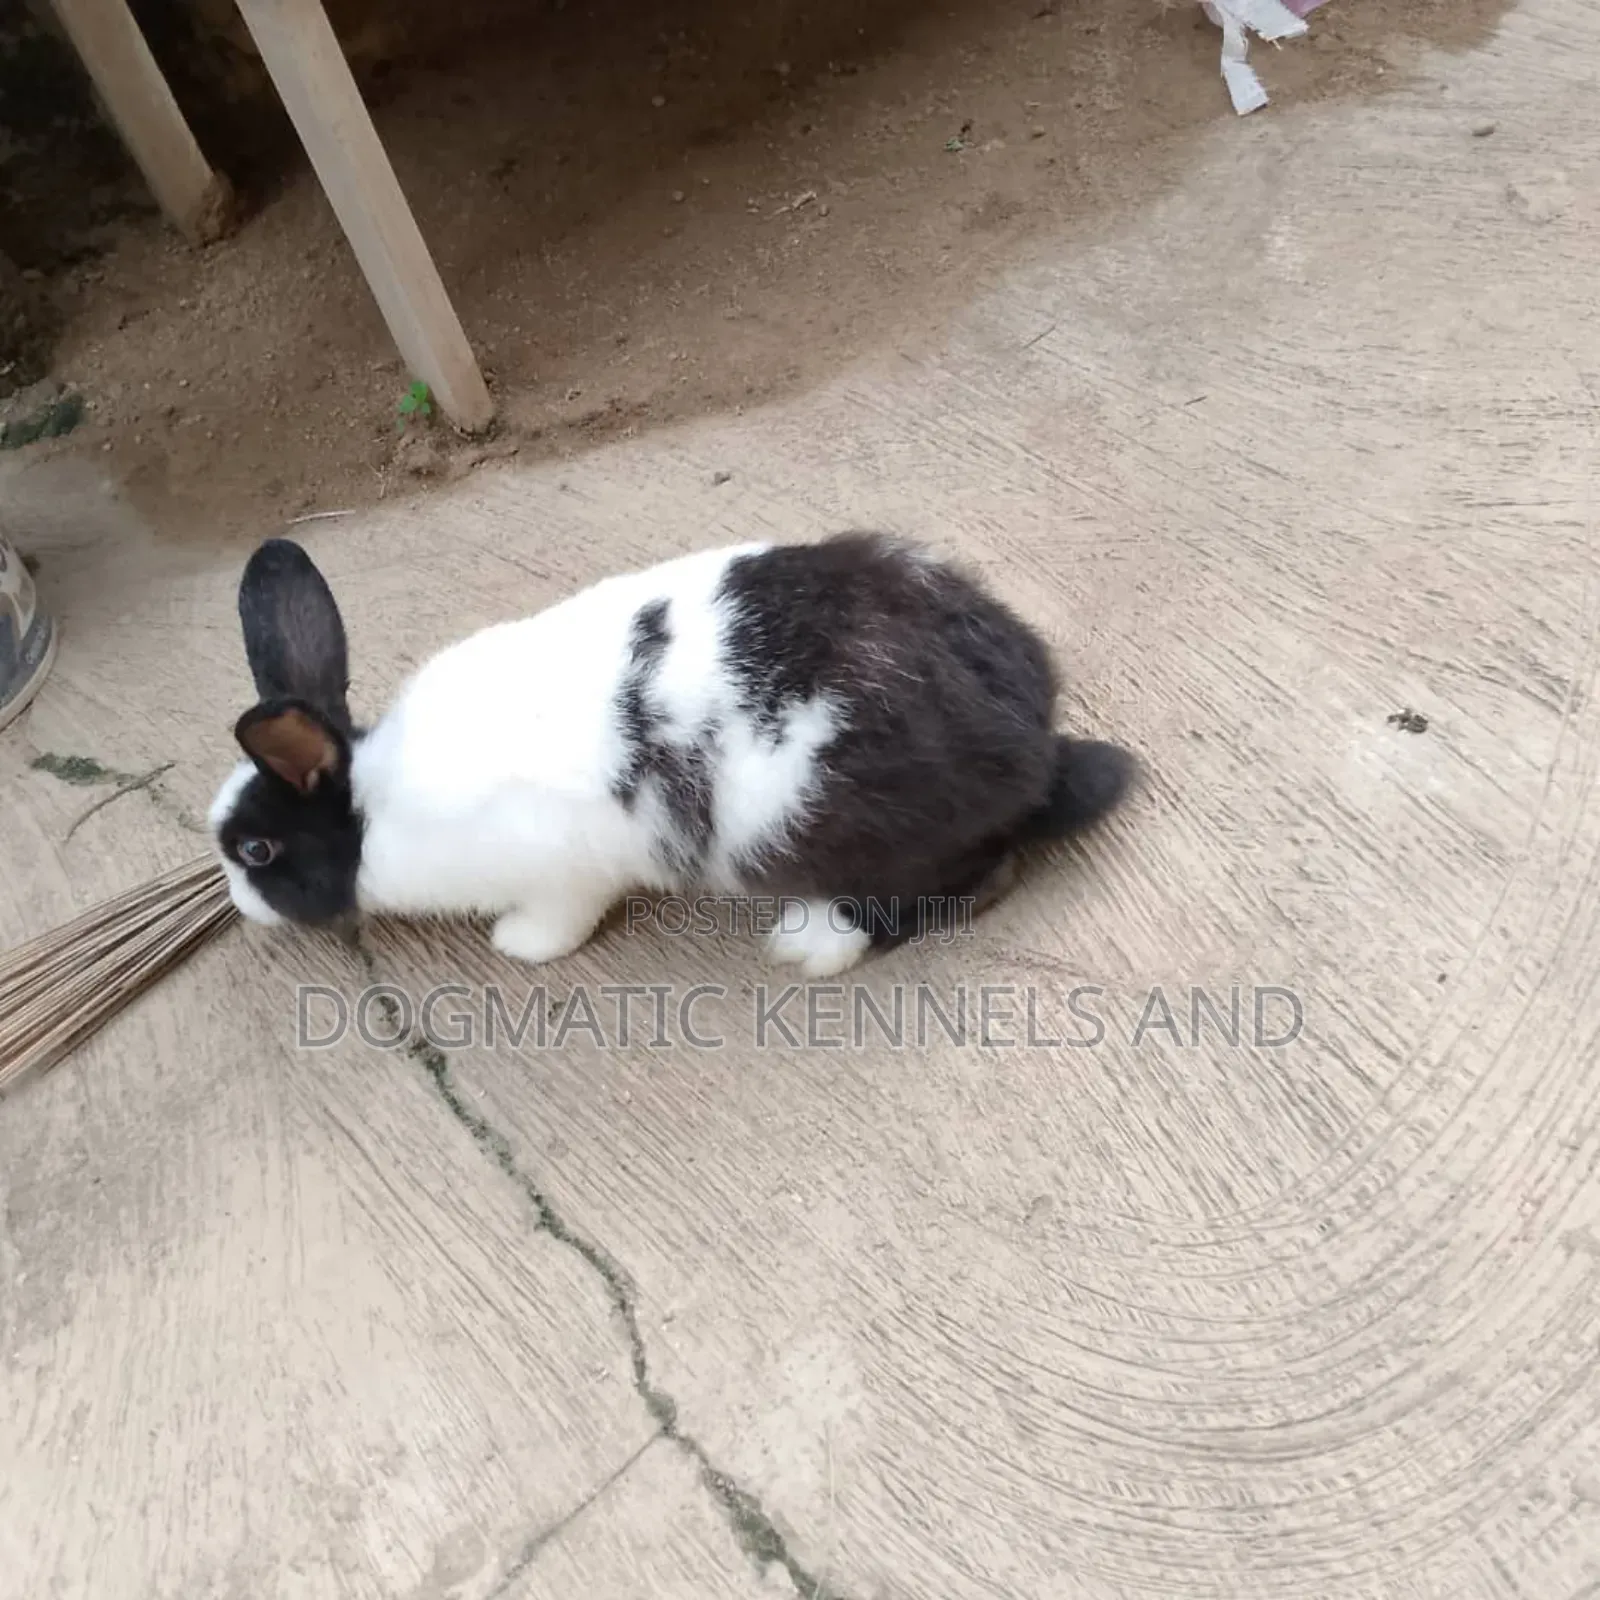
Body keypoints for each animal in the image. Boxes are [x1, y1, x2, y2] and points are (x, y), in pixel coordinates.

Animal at [208, 531, 1136, 978]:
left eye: (255, 851)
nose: (242, 909)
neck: (373, 810)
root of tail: (1030, 744)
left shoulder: (563, 875)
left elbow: (558, 922)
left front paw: (517, 946)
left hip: (830, 829)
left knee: (972, 880)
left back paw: (811, 941)